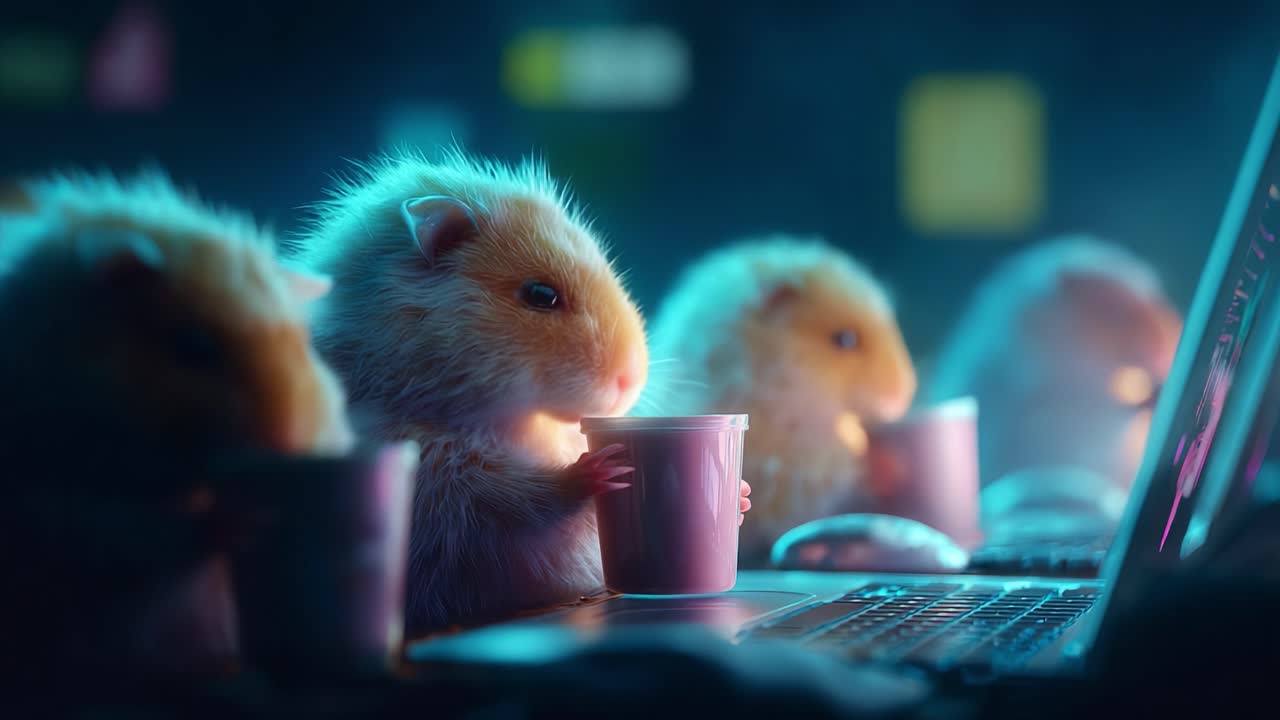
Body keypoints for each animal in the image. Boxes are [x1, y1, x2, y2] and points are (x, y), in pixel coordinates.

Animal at [0, 170, 354, 670]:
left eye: (305, 345)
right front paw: (239, 518)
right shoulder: (54, 492)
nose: (287, 446)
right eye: (193, 347)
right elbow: (135, 533)